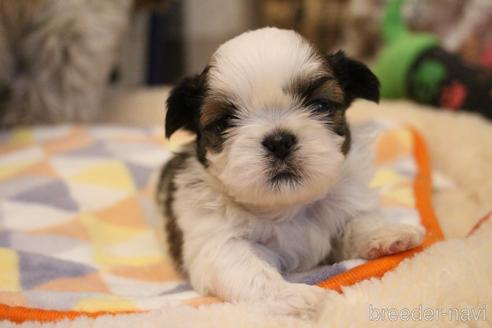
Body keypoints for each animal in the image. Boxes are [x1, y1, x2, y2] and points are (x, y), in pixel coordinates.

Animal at [157, 28, 422, 318]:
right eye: (224, 122)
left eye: (320, 106)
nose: (279, 141)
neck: (287, 206)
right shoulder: (217, 242)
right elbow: (249, 269)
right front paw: (294, 296)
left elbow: (357, 223)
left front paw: (386, 233)